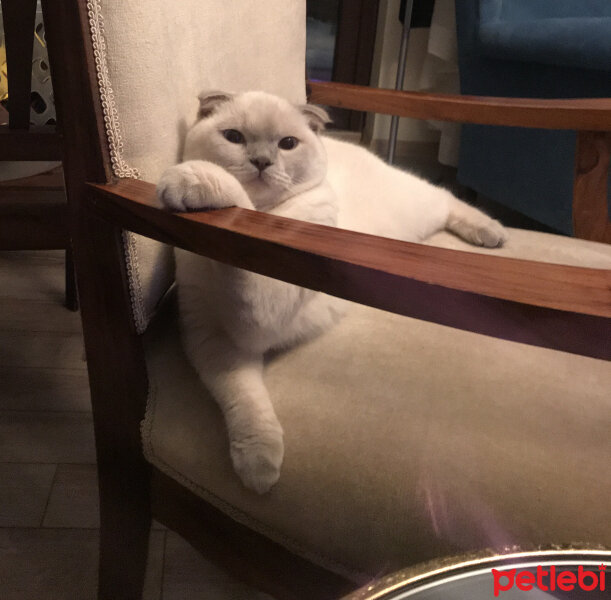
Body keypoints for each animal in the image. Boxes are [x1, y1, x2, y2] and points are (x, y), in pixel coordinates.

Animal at [157, 89, 506, 492]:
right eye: (234, 138)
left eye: (287, 144)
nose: (261, 162)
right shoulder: (216, 337)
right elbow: (243, 399)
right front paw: (259, 469)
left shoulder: (259, 312)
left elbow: (237, 200)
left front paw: (185, 181)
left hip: (420, 208)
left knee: (447, 195)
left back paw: (492, 233)